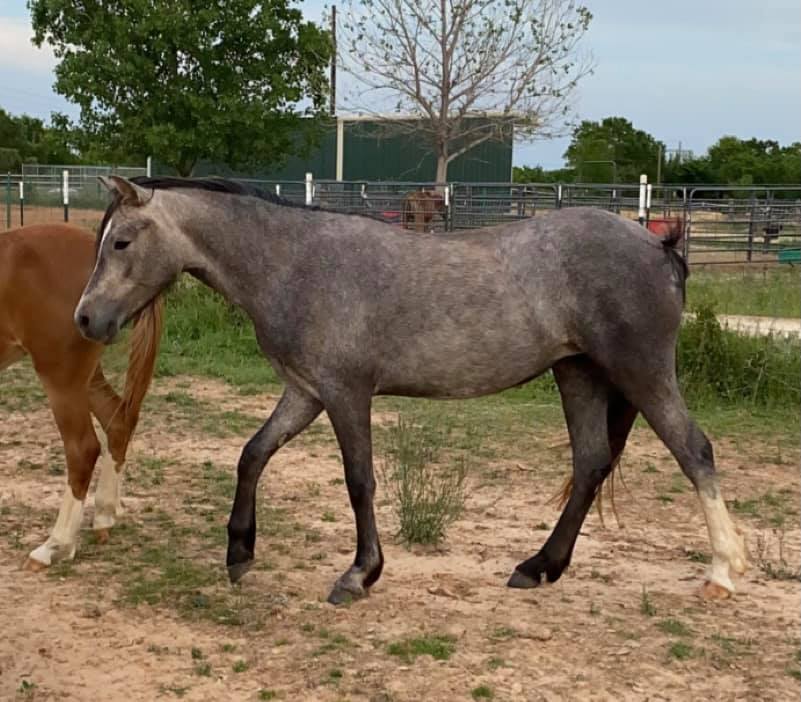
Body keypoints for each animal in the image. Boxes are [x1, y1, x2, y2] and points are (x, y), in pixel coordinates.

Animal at [0, 223, 163, 568]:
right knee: (117, 421)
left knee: (83, 449)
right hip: (85, 378)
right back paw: (104, 515)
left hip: (61, 378)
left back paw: (55, 546)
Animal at [75, 176, 748, 605]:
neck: (296, 263)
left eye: (122, 242)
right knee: (590, 463)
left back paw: (723, 572)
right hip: (578, 372)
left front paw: (359, 576)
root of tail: (658, 242)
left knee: (695, 451)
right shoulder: (305, 393)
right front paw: (240, 553)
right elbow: (252, 454)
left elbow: (359, 481)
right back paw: (538, 568)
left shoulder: (346, 394)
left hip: (641, 372)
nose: (85, 320)